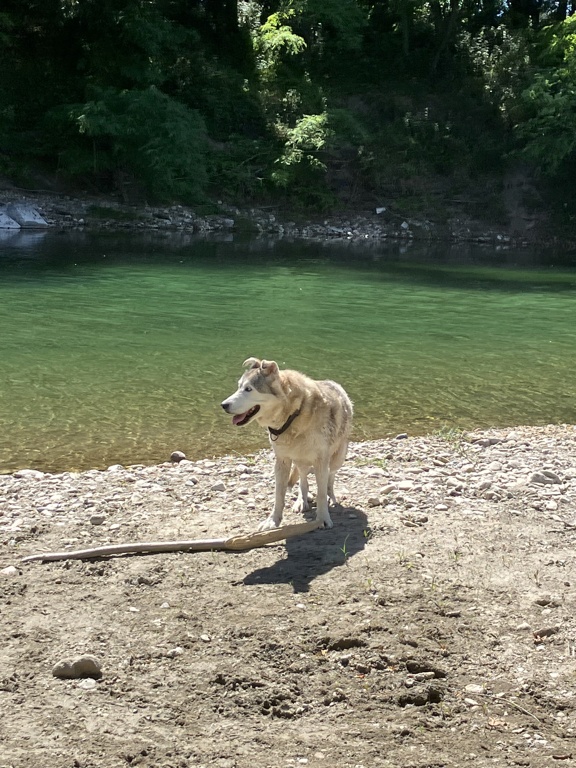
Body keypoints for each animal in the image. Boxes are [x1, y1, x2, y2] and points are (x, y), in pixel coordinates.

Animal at [223, 358, 354, 528]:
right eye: (239, 387)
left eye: (248, 389)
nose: (223, 405)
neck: (294, 415)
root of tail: (335, 384)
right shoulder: (282, 461)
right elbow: (279, 496)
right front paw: (273, 521)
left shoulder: (321, 461)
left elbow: (321, 494)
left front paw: (323, 518)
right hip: (301, 459)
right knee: (303, 479)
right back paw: (301, 501)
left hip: (337, 458)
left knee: (330, 478)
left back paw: (331, 497)